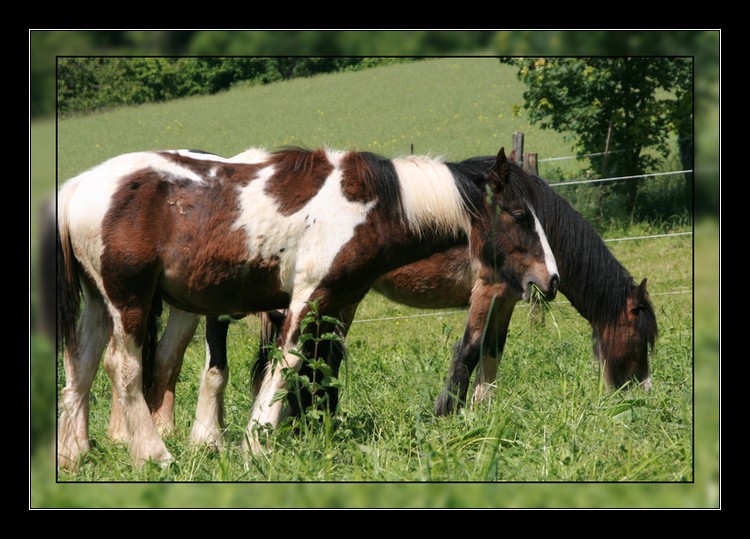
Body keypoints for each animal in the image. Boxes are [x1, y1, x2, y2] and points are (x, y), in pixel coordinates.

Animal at [54, 146, 560, 466]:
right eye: (521, 216)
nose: (550, 279)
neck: (372, 206)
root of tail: (76, 188)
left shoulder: (339, 302)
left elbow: (319, 367)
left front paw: (307, 430)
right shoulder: (309, 297)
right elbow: (288, 363)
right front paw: (257, 443)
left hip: (98, 304)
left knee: (81, 366)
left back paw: (73, 454)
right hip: (129, 301)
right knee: (122, 368)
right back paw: (154, 454)